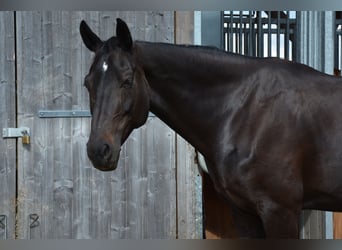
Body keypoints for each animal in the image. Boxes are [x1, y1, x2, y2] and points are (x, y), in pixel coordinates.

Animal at [79, 18, 342, 238]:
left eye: (127, 81)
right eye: (87, 83)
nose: (98, 150)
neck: (247, 111)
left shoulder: (280, 211)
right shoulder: (244, 211)